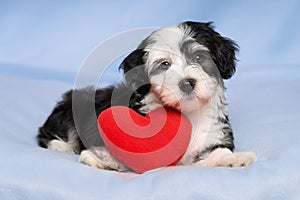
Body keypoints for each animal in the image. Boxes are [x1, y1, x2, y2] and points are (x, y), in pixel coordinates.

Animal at [37, 21, 255, 172]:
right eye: (164, 64)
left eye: (199, 57)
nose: (187, 83)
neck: (188, 114)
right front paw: (100, 158)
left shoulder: (212, 136)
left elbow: (218, 152)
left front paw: (236, 158)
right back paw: (61, 146)